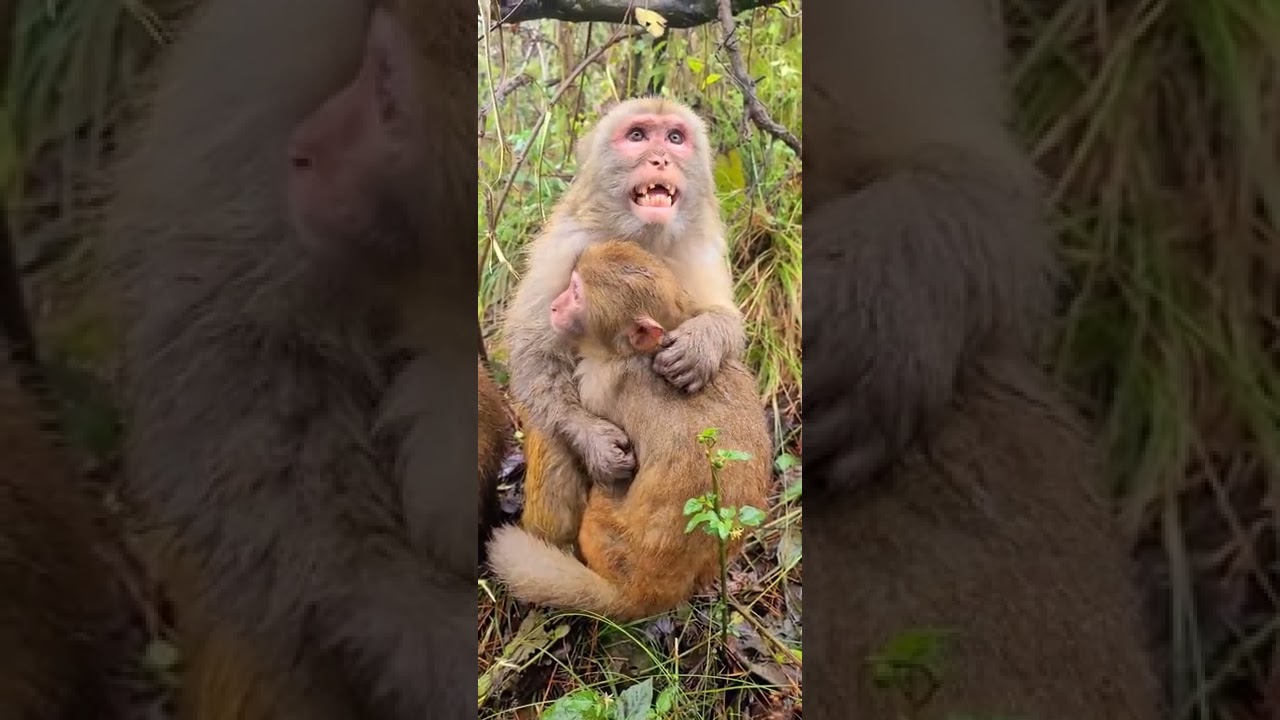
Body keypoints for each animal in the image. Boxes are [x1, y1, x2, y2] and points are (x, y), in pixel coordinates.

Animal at [488, 240, 771, 621]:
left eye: (575, 292)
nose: (555, 305)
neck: (638, 352)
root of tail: (644, 596)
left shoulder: (596, 380)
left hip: (603, 531)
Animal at [503, 97, 747, 550]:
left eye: (674, 137)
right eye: (637, 136)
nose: (660, 158)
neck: (641, 237)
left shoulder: (699, 246)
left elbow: (724, 315)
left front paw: (701, 345)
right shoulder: (564, 243)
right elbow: (533, 354)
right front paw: (594, 440)